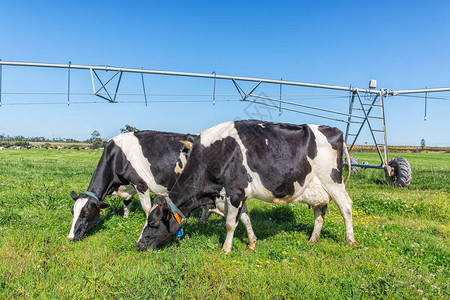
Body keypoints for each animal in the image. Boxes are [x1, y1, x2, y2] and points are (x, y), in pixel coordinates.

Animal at [137, 119, 356, 253]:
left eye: (153, 222)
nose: (138, 245)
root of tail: (333, 129)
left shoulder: (235, 192)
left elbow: (229, 223)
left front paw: (225, 249)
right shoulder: (238, 194)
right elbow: (245, 219)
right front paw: (251, 244)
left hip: (333, 181)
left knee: (346, 207)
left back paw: (350, 241)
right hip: (317, 187)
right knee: (320, 211)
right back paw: (313, 240)